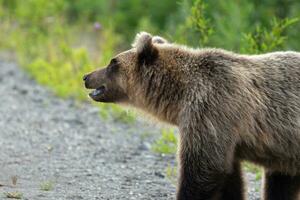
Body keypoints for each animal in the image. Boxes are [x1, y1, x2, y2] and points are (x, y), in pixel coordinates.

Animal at [83, 32, 300, 199]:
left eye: (113, 62)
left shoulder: (211, 109)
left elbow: (204, 167)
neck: (179, 95)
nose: (86, 77)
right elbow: (229, 174)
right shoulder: (225, 132)